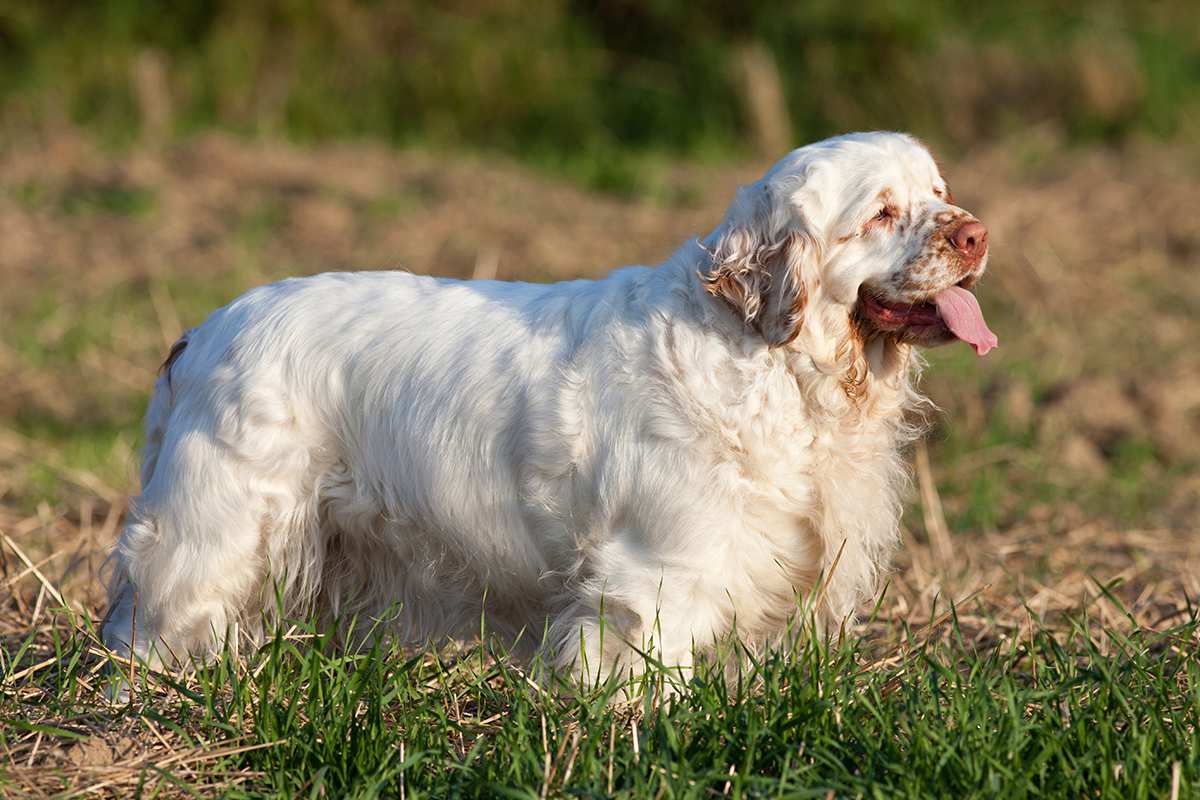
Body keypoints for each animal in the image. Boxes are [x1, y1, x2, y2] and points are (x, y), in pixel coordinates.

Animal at [100, 134, 993, 686]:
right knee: (149, 626)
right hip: (215, 533)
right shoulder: (655, 576)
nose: (978, 234)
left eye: (940, 193)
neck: (775, 366)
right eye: (882, 213)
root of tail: (202, 332)